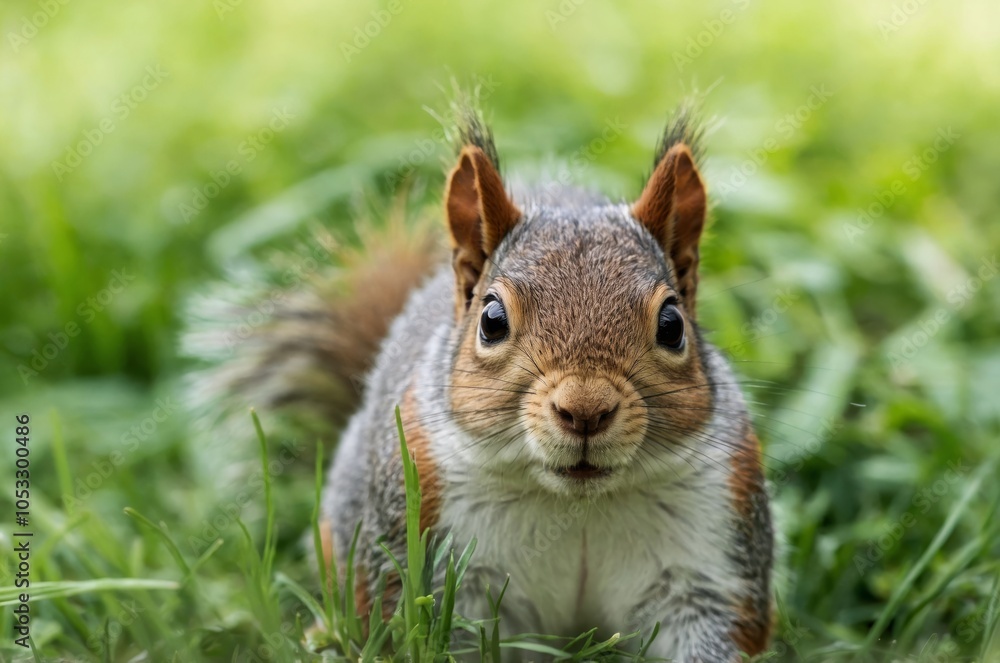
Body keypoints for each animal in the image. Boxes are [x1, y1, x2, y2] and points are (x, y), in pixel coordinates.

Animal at [184, 102, 774, 662]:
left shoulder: (707, 563)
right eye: (492, 320)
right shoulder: (433, 560)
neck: (573, 502)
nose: (585, 408)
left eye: (672, 325)